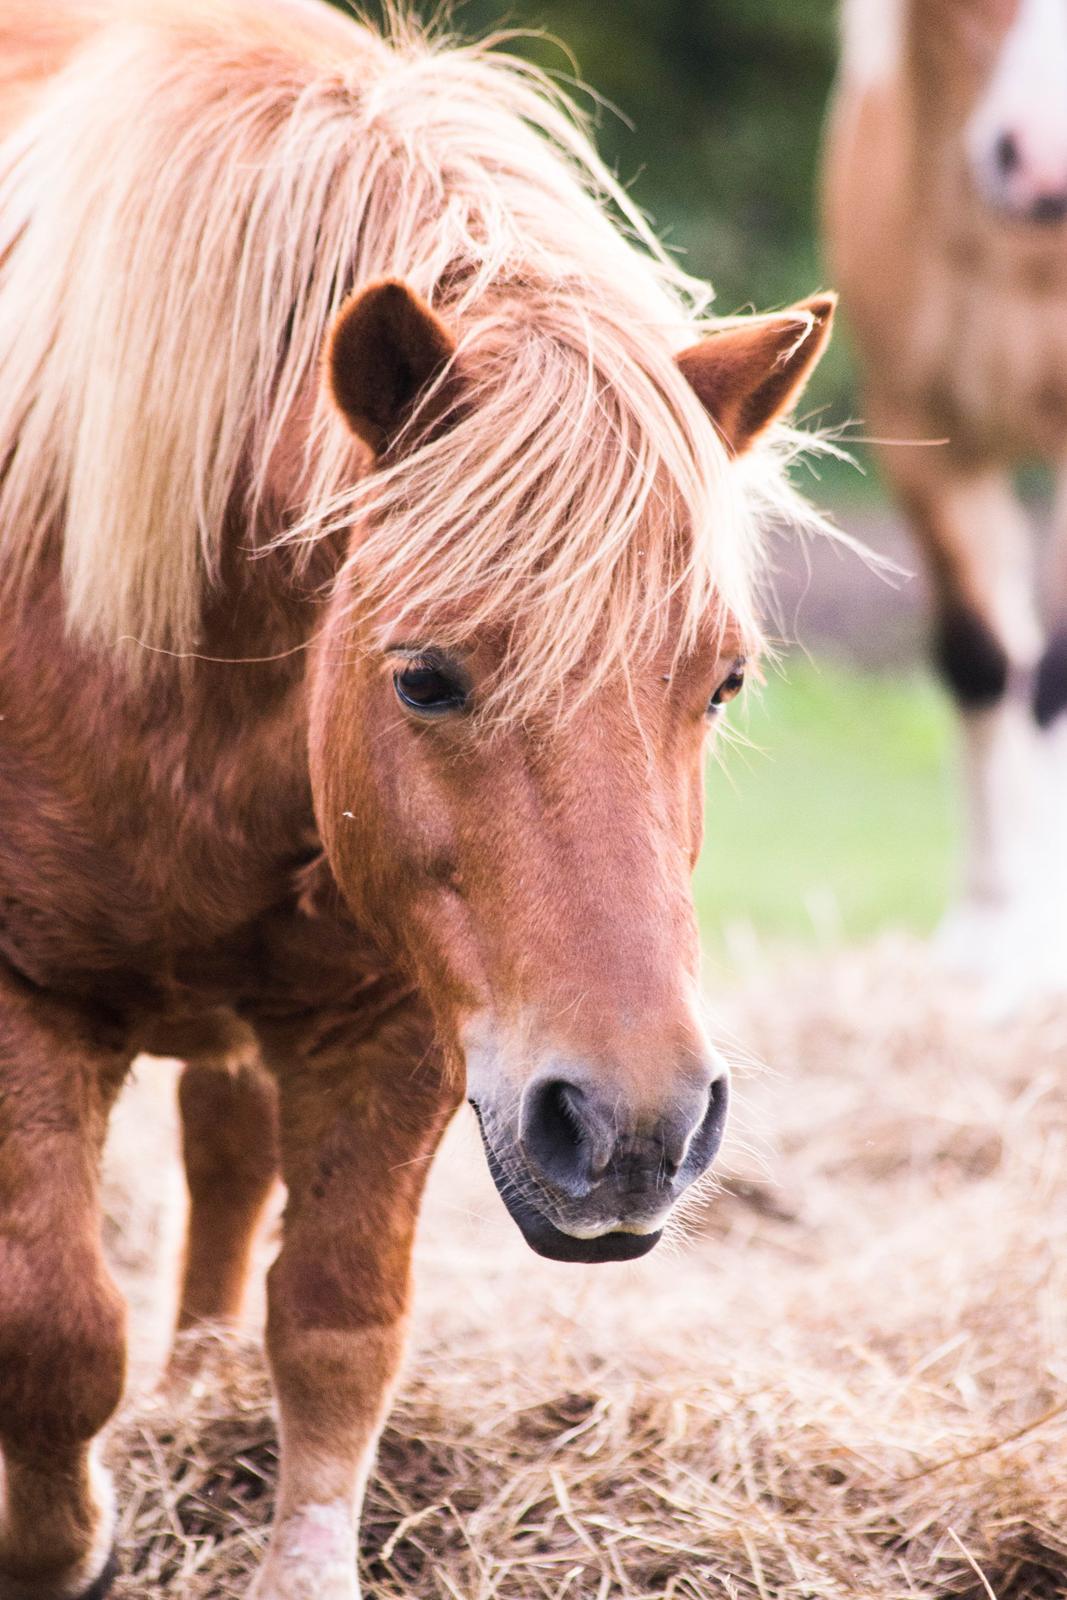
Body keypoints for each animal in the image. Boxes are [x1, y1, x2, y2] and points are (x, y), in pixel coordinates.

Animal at [0, 3, 831, 1600]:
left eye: (720, 683)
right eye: (426, 678)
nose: (635, 1129)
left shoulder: (394, 1022)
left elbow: (336, 1330)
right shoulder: (24, 999)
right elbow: (55, 1331)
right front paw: (61, 1544)